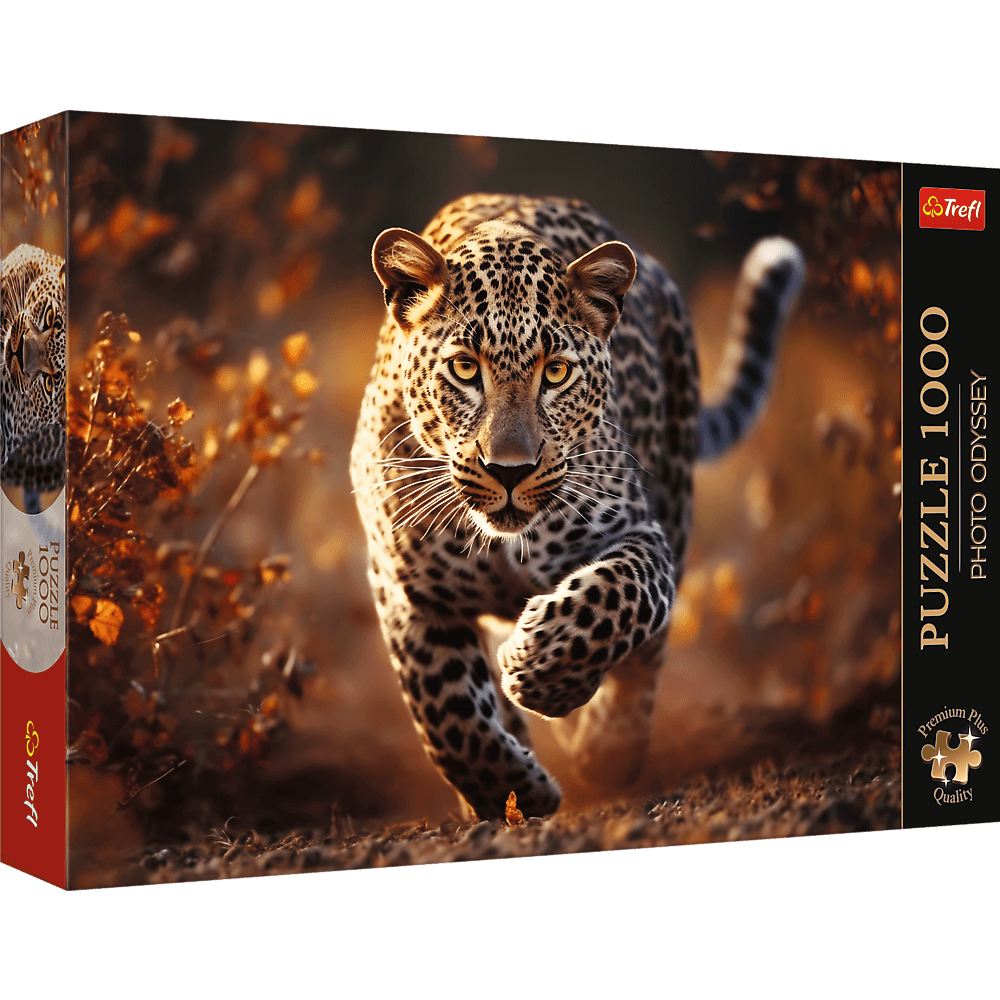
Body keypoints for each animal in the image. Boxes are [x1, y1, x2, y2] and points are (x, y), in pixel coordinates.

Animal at [350, 194, 804, 821]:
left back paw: (609, 748)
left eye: (556, 372)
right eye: (465, 368)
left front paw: (541, 668)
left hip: (676, 494)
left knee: (646, 657)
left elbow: (618, 597)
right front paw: (510, 792)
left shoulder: (639, 533)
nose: (509, 470)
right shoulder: (406, 590)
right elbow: (447, 711)